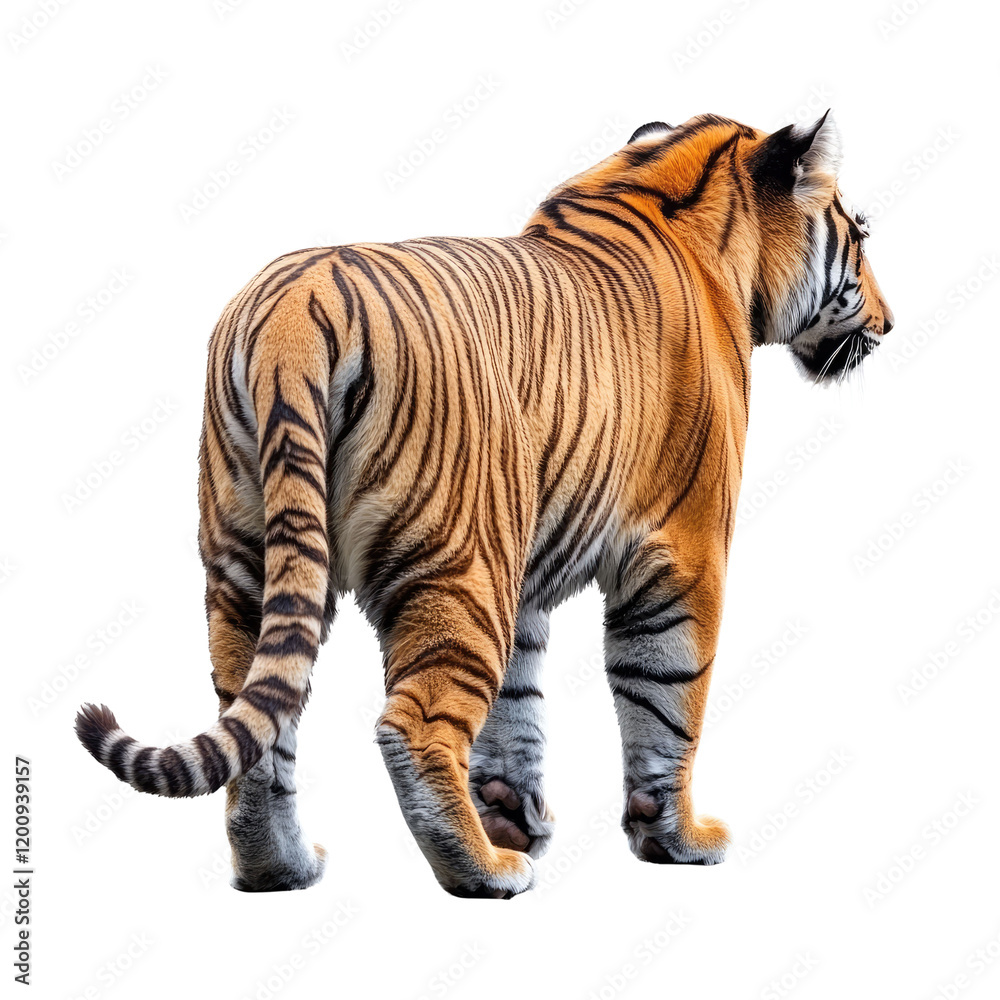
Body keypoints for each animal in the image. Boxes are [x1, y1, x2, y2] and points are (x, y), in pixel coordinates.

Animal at [76, 111, 893, 898]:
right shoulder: (684, 552)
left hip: (250, 561)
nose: (887, 325)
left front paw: (513, 816)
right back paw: (482, 873)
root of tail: (298, 306)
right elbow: (666, 697)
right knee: (411, 728)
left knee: (259, 720)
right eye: (860, 234)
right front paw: (677, 840)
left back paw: (282, 869)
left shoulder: (524, 565)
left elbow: (517, 705)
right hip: (456, 565)